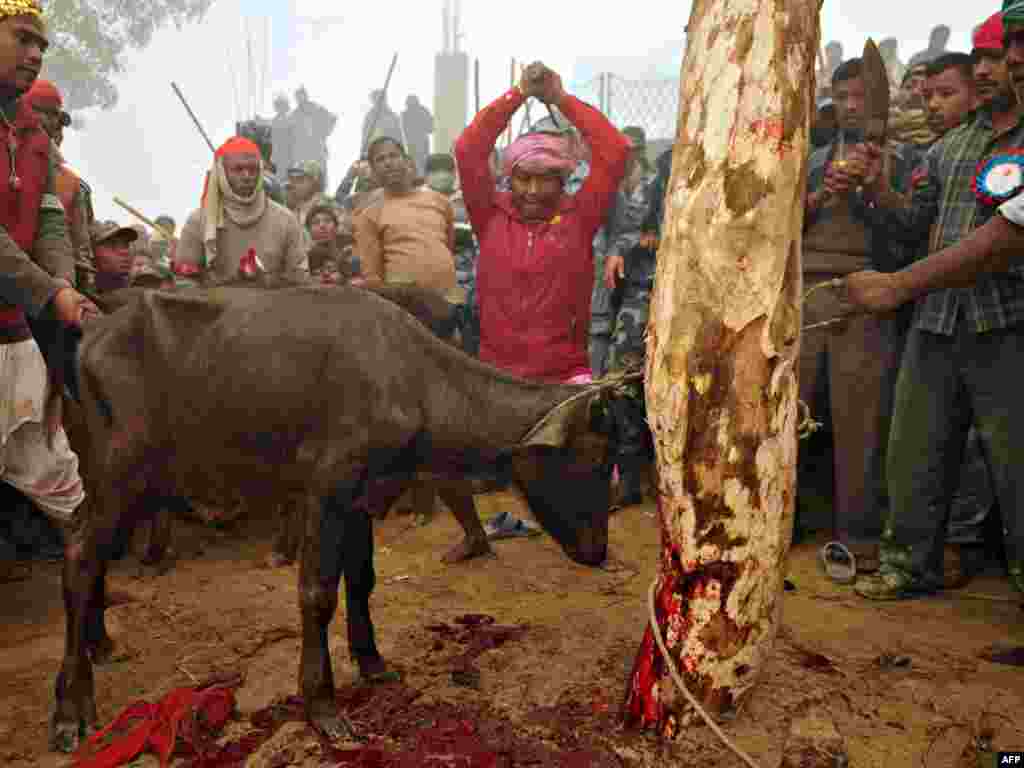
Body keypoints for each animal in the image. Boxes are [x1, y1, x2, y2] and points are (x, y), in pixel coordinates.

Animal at [51, 284, 614, 753]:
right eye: (593, 459)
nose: (598, 551)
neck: (416, 381)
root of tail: (92, 336)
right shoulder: (326, 489)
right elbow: (318, 595)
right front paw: (322, 706)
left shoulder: (362, 499)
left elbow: (361, 582)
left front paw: (372, 662)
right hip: (121, 473)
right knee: (79, 551)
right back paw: (70, 708)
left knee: (94, 553)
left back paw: (99, 646)